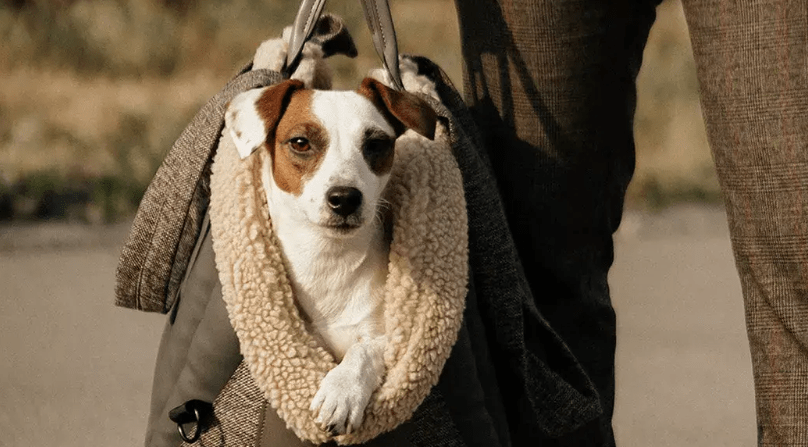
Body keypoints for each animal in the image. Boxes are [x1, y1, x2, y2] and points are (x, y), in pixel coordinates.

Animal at [224, 78, 438, 438]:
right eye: (300, 142)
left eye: (376, 144)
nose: (345, 198)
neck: (327, 259)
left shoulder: (384, 336)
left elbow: (363, 350)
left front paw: (342, 391)